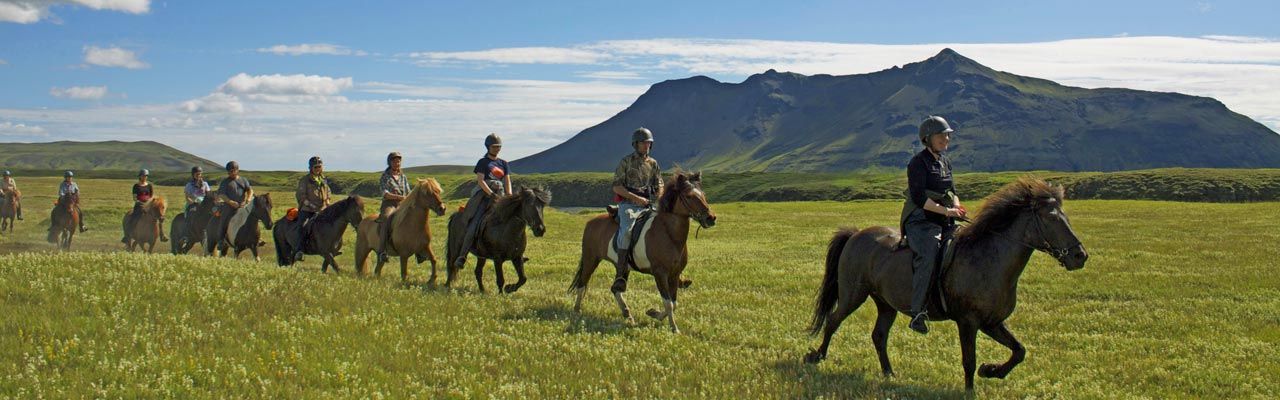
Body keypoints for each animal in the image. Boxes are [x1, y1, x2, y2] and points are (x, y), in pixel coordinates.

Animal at [573, 170, 721, 333]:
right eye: (689, 196)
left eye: (703, 194)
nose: (711, 218)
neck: (669, 234)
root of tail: (590, 222)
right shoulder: (660, 273)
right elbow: (668, 303)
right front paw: (674, 328)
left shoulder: (674, 274)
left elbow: (674, 303)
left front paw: (653, 313)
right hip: (590, 259)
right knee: (582, 283)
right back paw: (577, 311)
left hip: (623, 267)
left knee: (616, 289)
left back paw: (628, 315)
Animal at [798, 176, 1090, 389]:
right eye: (1051, 217)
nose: (1080, 256)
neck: (988, 259)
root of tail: (857, 234)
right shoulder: (968, 322)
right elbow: (969, 360)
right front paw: (971, 390)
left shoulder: (992, 322)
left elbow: (1019, 351)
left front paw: (991, 371)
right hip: (853, 294)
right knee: (833, 320)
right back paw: (816, 356)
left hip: (885, 303)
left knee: (879, 336)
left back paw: (889, 373)